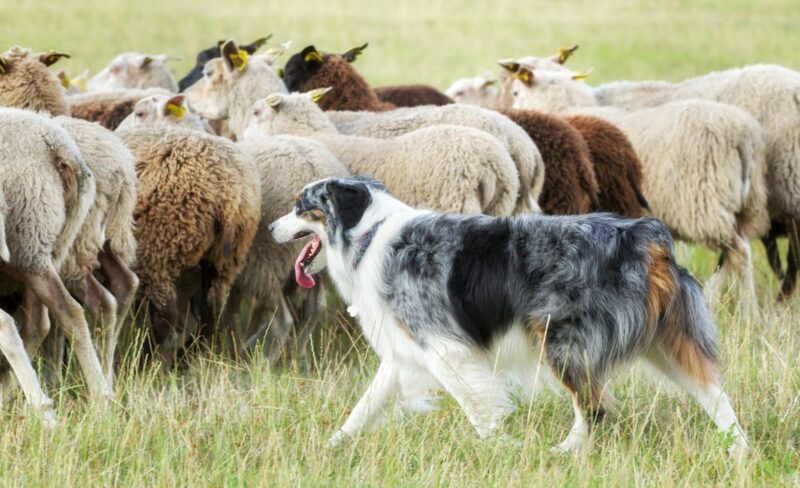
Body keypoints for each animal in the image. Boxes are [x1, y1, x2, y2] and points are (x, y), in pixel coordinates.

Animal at [504, 66, 772, 310]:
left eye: (516, 92)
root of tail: (744, 137)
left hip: (704, 203)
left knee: (739, 251)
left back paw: (747, 311)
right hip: (747, 206)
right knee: (735, 252)